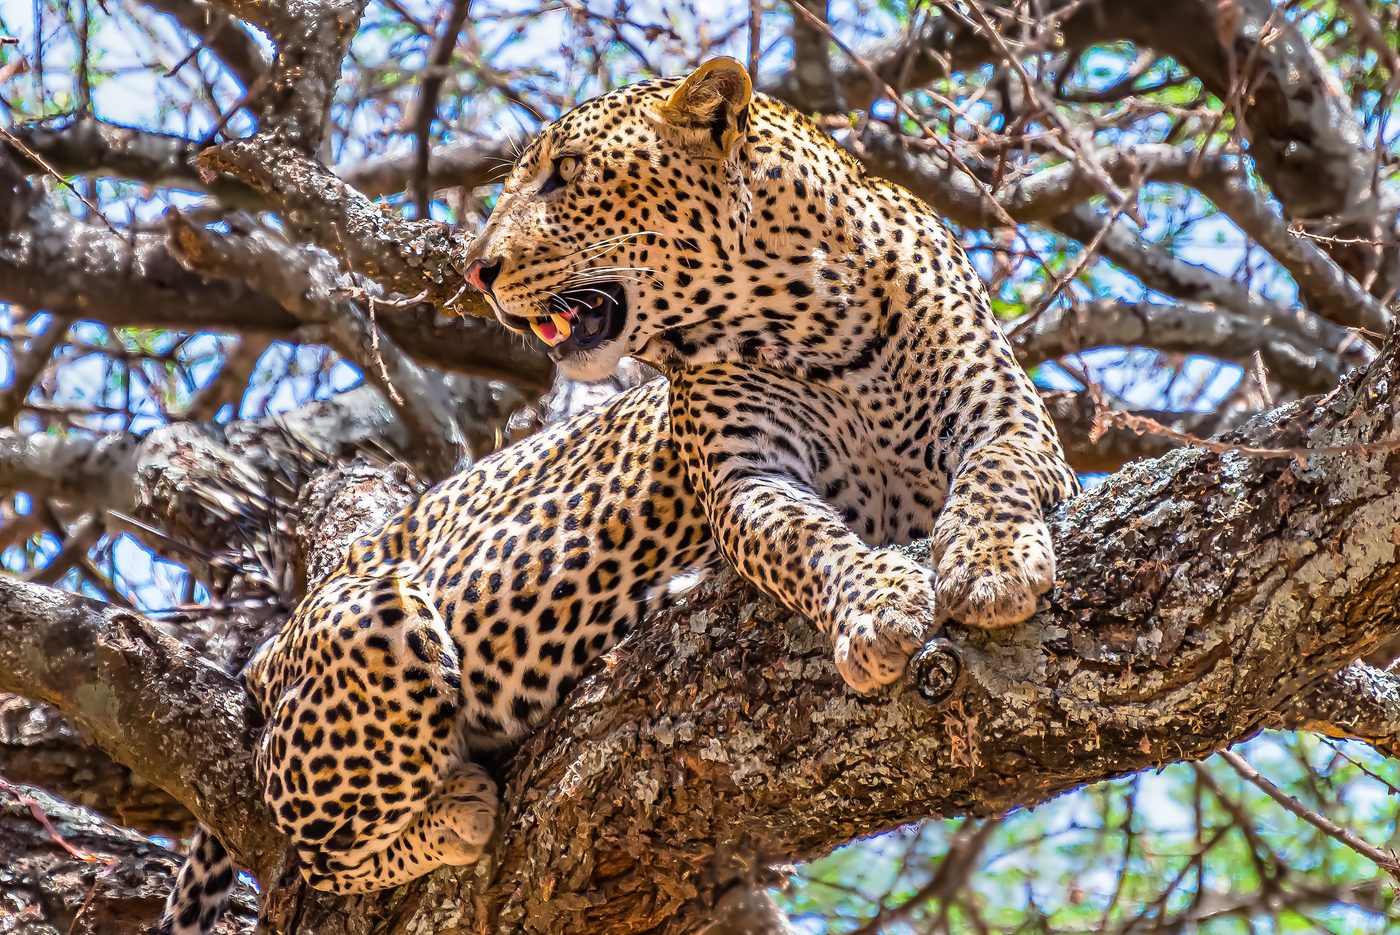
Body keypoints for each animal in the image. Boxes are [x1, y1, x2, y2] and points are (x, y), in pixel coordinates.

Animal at [159, 57, 1077, 934]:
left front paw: (990, 565)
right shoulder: (748, 480)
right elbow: (804, 539)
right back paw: (457, 809)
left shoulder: (1011, 420)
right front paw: (879, 603)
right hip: (371, 619)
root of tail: (270, 646)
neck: (814, 321)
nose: (478, 271)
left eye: (564, 173)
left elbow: (995, 476)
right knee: (314, 853)